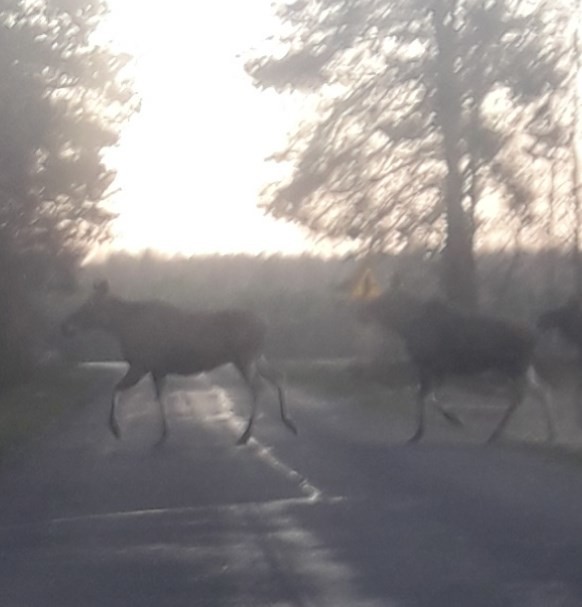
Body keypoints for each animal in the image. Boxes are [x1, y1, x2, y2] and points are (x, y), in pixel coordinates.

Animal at [61, 282, 298, 446]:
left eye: (90, 305)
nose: (67, 325)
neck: (120, 326)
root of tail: (266, 325)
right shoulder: (157, 369)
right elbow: (160, 397)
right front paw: (164, 434)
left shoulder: (141, 364)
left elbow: (117, 388)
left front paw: (116, 429)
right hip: (256, 357)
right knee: (279, 376)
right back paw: (288, 422)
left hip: (244, 358)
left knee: (259, 386)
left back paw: (246, 434)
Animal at [360, 288, 556, 444]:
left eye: (379, 302)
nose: (361, 313)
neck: (402, 326)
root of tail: (535, 335)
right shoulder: (434, 369)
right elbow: (426, 395)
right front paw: (451, 420)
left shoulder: (432, 366)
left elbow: (423, 395)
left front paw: (424, 431)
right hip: (522, 369)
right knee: (541, 392)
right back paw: (549, 434)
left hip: (513, 369)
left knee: (521, 398)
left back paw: (496, 434)